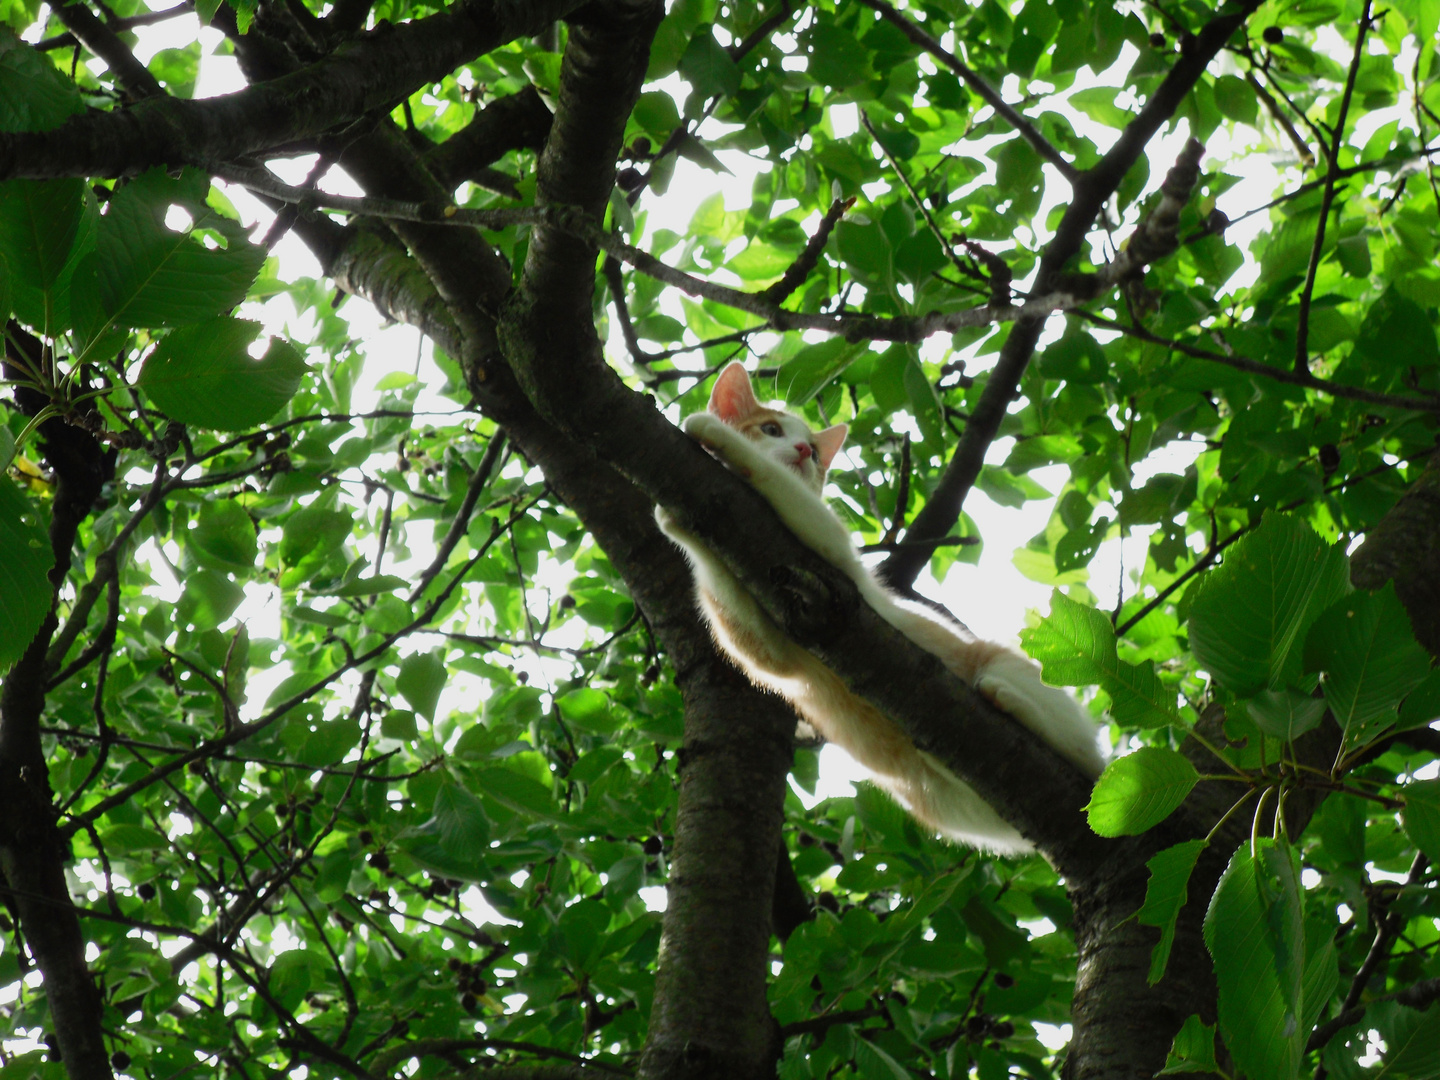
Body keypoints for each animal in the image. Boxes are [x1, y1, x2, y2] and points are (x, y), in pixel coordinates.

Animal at [659, 364, 1105, 852]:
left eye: (816, 451)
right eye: (771, 429)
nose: (803, 450)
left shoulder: (835, 563)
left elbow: (781, 487)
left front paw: (714, 434)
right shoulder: (775, 644)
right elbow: (752, 642)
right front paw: (675, 521)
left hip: (1013, 671)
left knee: (1081, 755)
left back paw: (1006, 700)